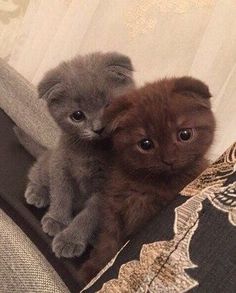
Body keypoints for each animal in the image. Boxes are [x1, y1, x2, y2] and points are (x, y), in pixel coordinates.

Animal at [18, 51, 135, 256]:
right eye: (77, 115)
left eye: (109, 106)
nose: (98, 128)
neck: (90, 152)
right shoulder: (60, 165)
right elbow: (61, 194)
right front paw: (57, 220)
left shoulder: (107, 189)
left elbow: (89, 216)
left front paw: (70, 240)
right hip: (49, 161)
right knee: (38, 171)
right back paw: (38, 191)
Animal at [77, 76, 216, 284]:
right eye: (146, 144)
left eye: (185, 134)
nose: (169, 160)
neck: (148, 185)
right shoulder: (113, 208)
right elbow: (108, 243)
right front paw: (93, 270)